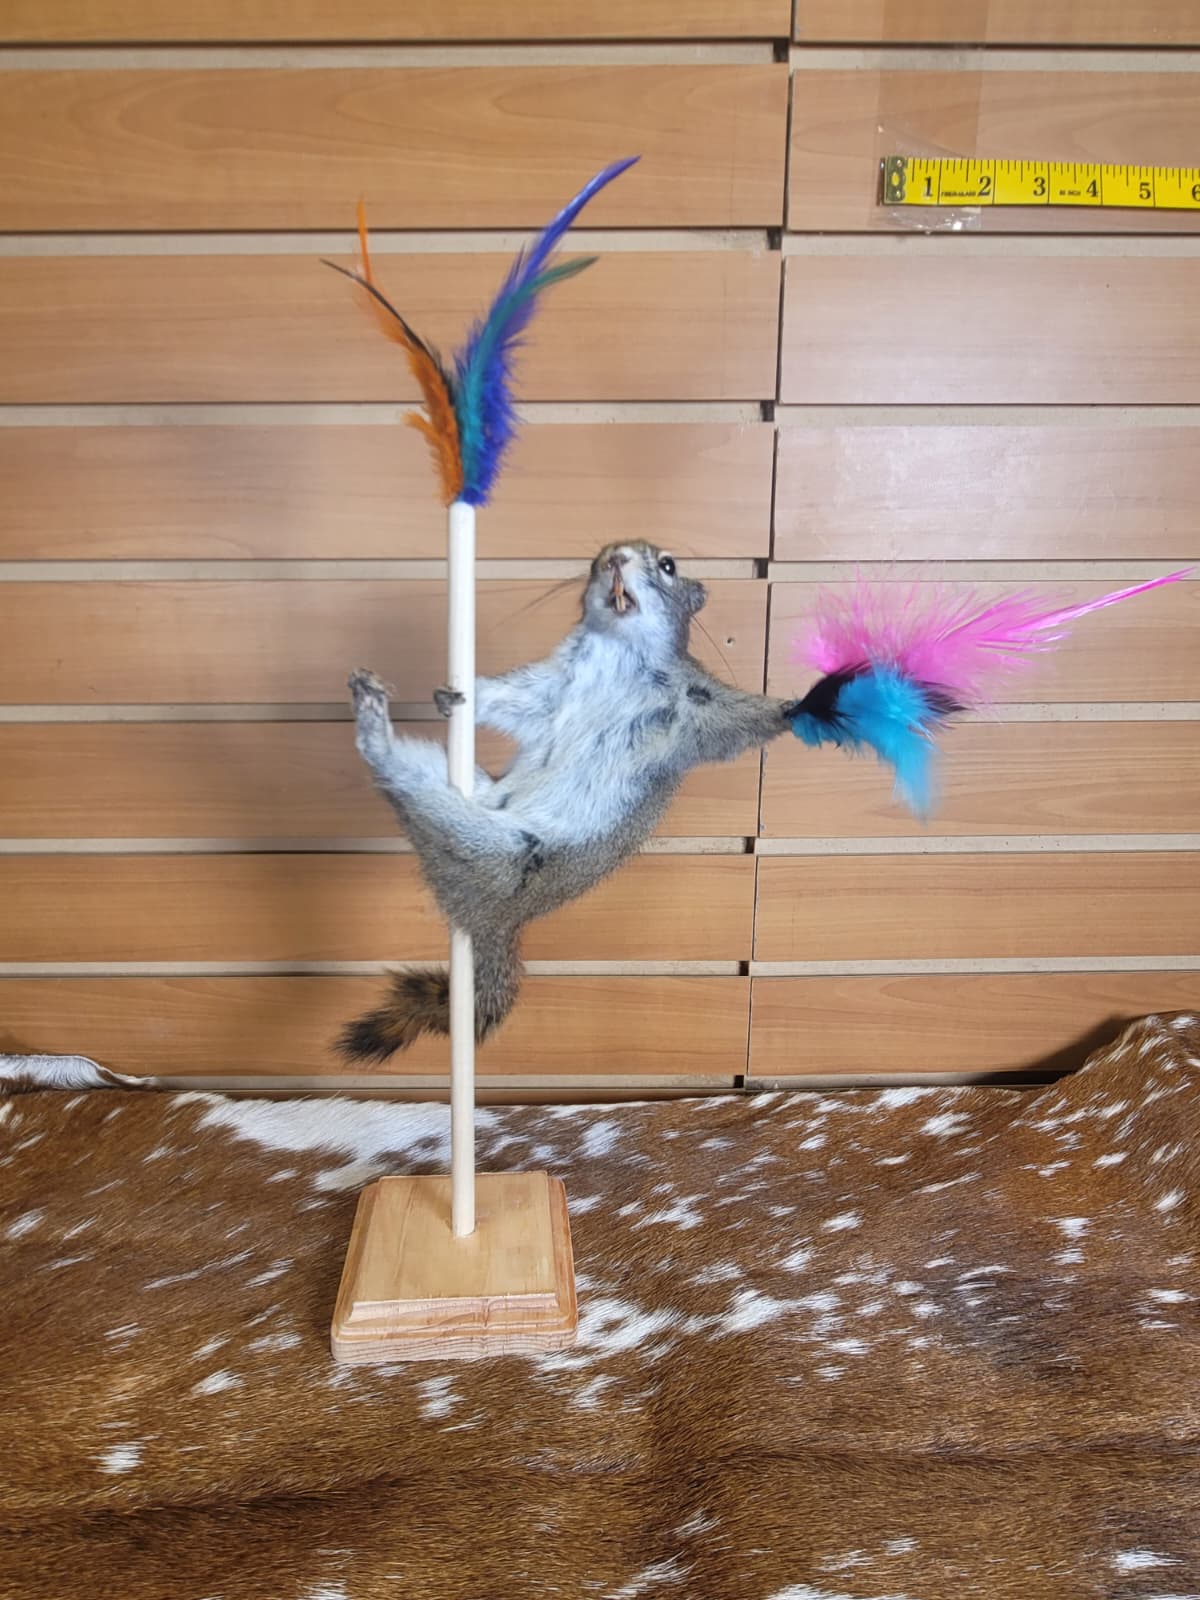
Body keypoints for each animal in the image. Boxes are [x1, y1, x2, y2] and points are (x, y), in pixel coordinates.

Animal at [339, 541, 803, 1062]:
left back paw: (372, 717)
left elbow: (742, 721)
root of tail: (493, 919)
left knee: (391, 769)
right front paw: (462, 693)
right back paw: (372, 708)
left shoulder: (696, 707)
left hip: (481, 850)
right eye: (597, 557)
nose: (615, 558)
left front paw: (794, 707)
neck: (619, 653)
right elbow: (511, 698)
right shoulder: (550, 687)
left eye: (668, 566)